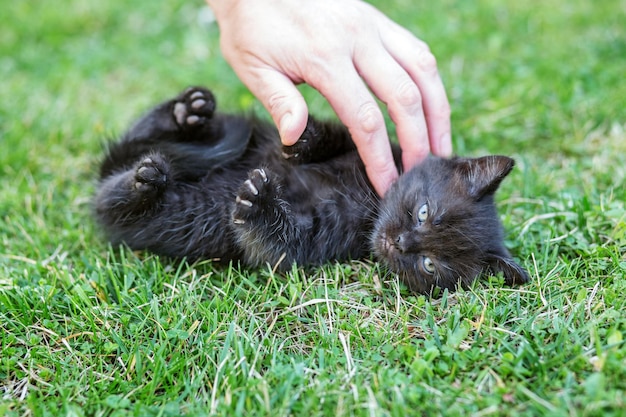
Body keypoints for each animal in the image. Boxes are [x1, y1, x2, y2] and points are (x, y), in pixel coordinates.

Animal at [96, 85, 528, 292]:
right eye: (423, 212)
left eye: (430, 265)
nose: (401, 243)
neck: (367, 203)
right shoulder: (368, 147)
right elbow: (336, 134)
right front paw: (305, 139)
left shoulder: (316, 240)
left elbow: (278, 245)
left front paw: (260, 205)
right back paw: (184, 114)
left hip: (167, 215)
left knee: (106, 204)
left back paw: (142, 182)